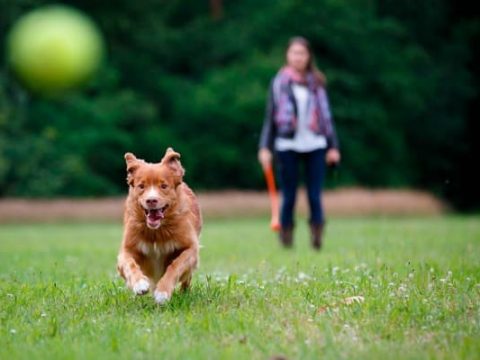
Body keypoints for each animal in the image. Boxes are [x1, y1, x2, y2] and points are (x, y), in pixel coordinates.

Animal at [117, 148, 202, 304]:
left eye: (164, 186)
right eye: (141, 186)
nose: (151, 200)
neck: (157, 231)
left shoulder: (191, 248)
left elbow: (176, 265)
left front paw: (163, 292)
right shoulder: (127, 248)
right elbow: (129, 263)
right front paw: (140, 284)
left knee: (187, 278)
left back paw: (184, 293)